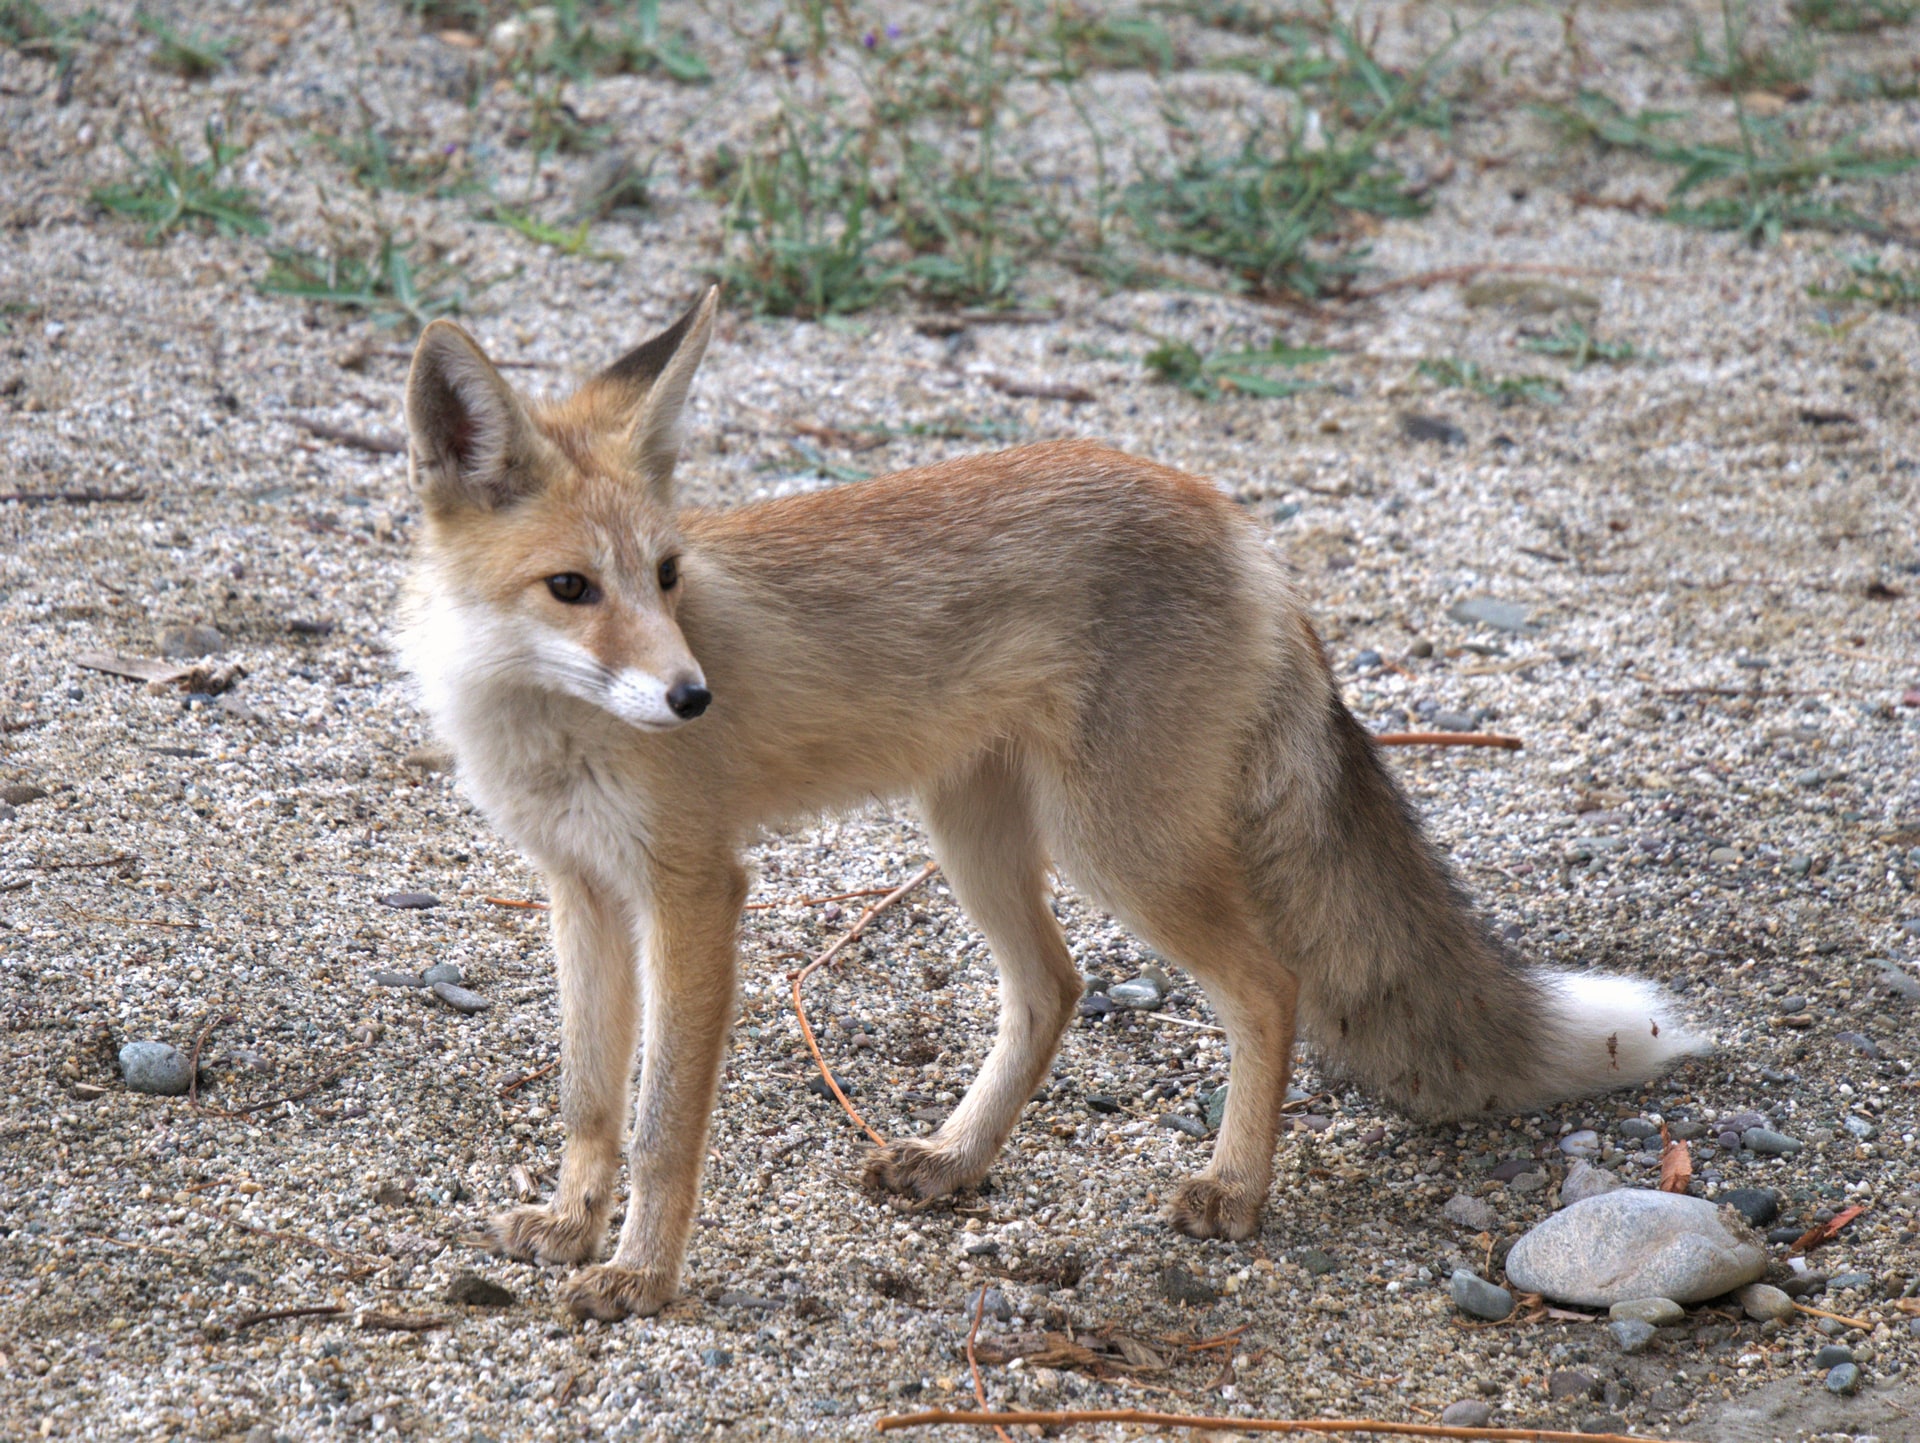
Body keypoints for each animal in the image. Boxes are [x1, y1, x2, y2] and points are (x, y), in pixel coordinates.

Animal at [395, 288, 1706, 1322]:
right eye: (572, 588)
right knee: (1055, 988)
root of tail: (1231, 517)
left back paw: (1236, 1188)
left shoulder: (695, 889)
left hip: (1112, 844)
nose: (692, 697)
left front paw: (640, 1277)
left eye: (667, 578)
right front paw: (572, 1225)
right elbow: (588, 1097)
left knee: (1268, 982)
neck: (542, 726)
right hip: (974, 831)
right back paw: (958, 1160)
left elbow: (664, 1124)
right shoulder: (580, 891)